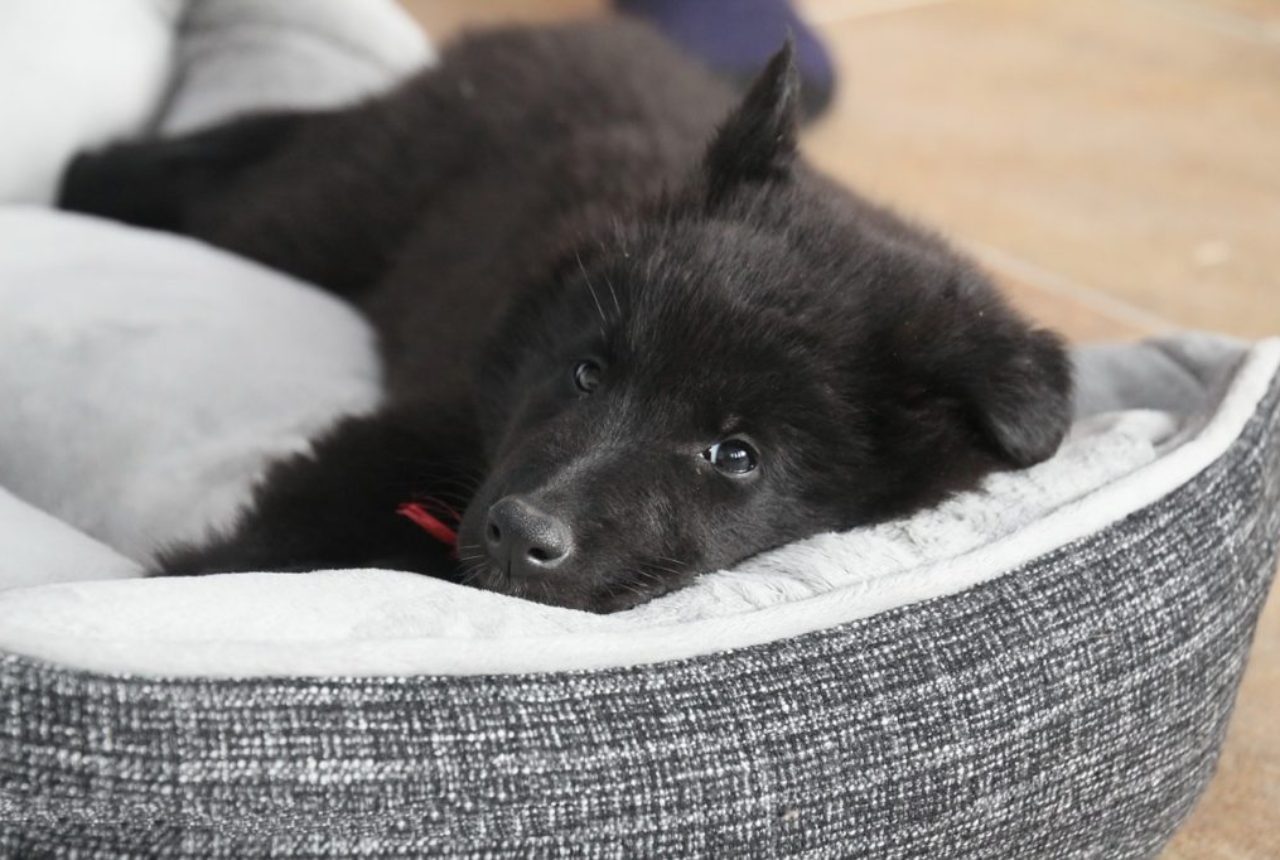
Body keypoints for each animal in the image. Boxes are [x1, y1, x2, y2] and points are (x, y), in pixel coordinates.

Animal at [64, 20, 1075, 611]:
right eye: (588, 371)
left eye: (736, 456)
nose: (521, 534)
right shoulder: (420, 428)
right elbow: (286, 532)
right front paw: (170, 587)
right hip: (323, 213)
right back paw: (87, 179)